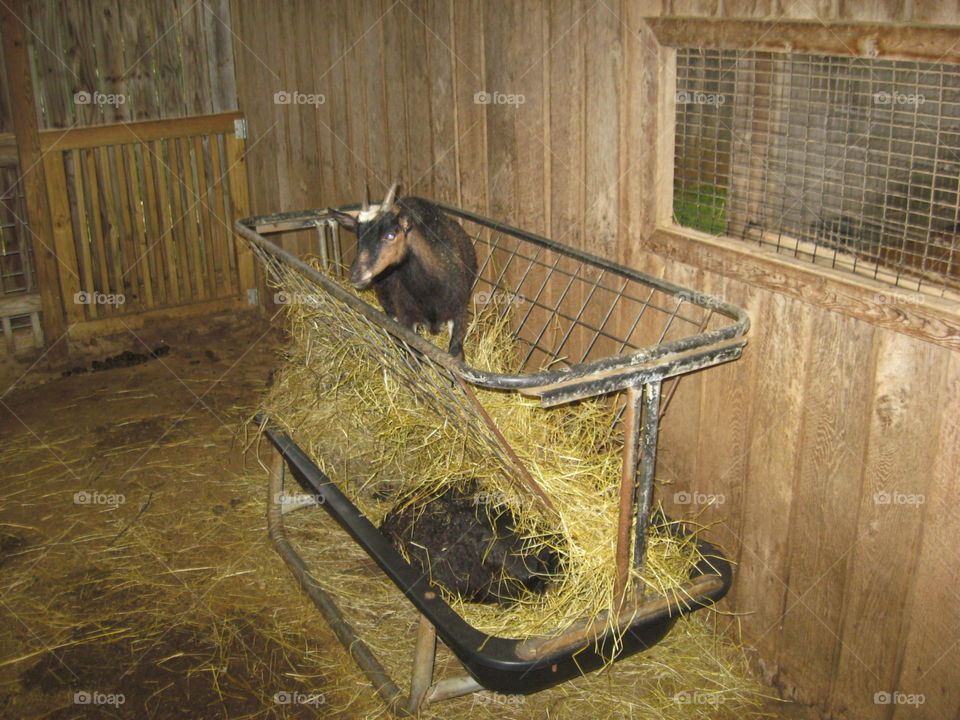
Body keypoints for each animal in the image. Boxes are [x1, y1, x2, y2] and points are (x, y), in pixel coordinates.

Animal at [332, 183, 478, 358]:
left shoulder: (459, 313)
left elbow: (456, 355)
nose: (355, 275)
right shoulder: (407, 320)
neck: (432, 288)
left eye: (390, 235)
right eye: (358, 236)